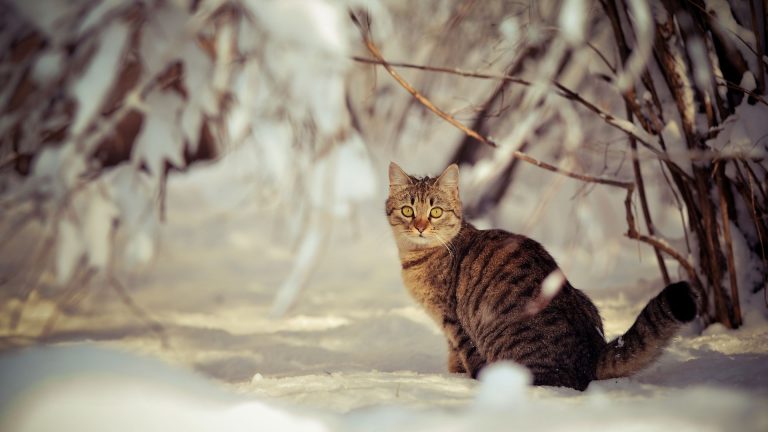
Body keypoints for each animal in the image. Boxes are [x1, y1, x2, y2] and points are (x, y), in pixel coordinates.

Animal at [388, 162, 700, 392]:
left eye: (435, 212)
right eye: (408, 210)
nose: (420, 226)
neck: (419, 257)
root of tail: (593, 351)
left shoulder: (454, 321)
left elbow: (468, 355)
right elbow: (455, 357)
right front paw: (455, 375)